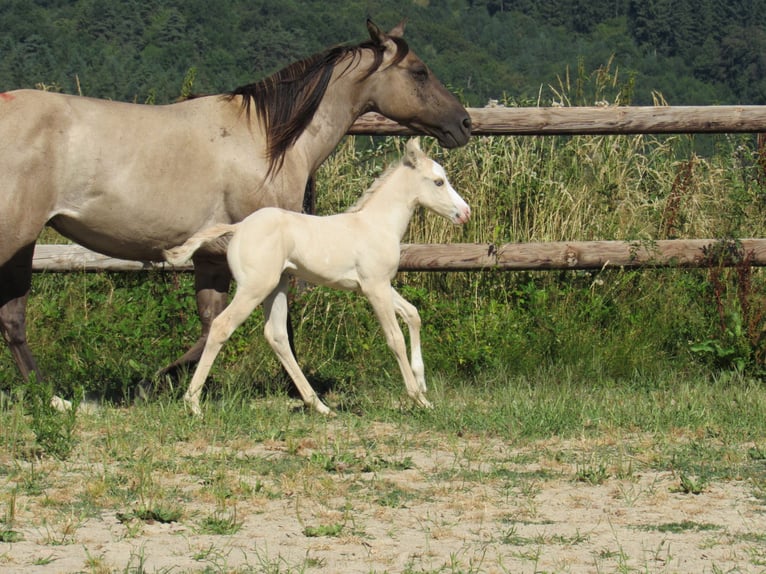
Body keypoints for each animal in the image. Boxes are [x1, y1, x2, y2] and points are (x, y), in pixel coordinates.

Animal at [163, 138, 470, 415]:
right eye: (438, 182)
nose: (465, 213)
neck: (376, 224)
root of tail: (238, 228)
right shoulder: (375, 287)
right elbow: (394, 337)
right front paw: (419, 399)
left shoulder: (376, 285)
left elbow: (413, 314)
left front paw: (422, 382)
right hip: (254, 287)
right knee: (221, 326)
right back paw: (193, 404)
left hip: (277, 286)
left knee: (276, 335)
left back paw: (320, 406)